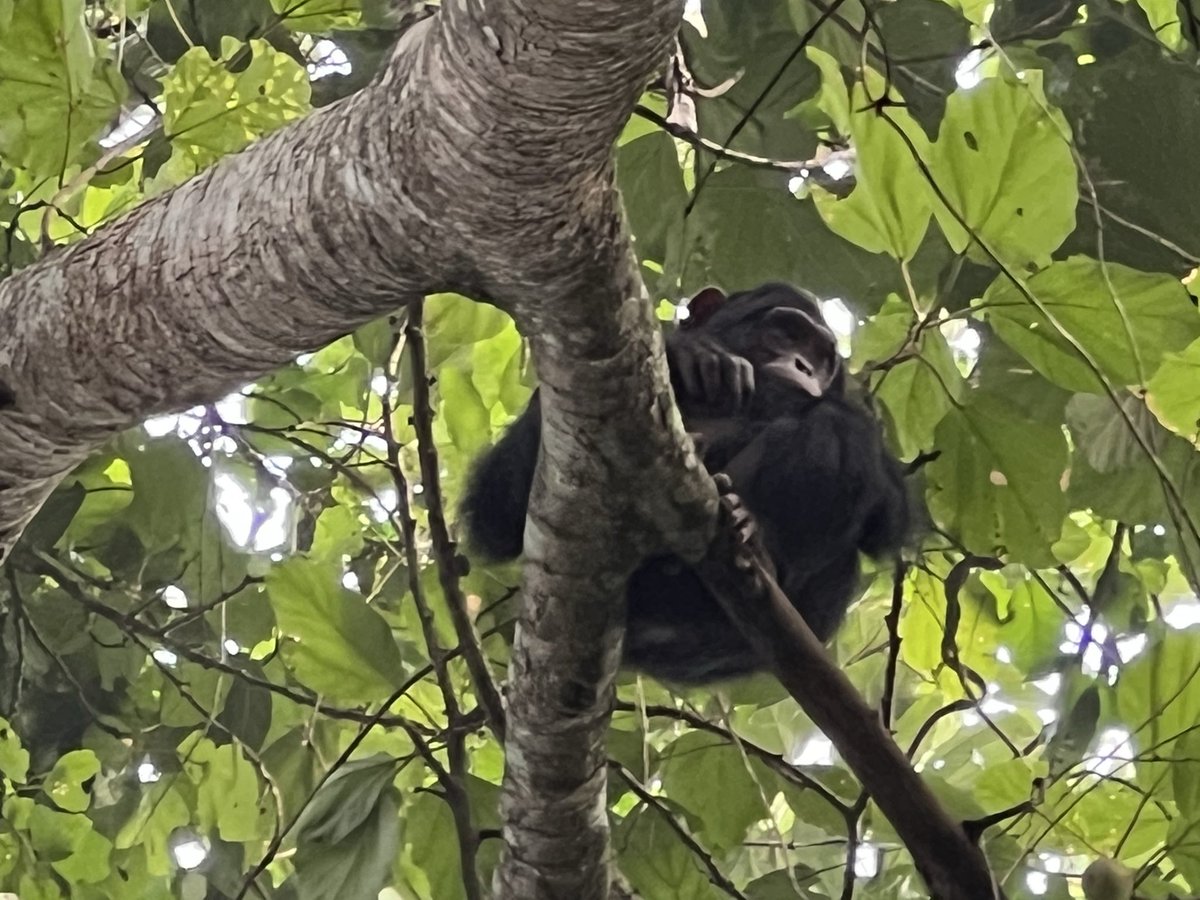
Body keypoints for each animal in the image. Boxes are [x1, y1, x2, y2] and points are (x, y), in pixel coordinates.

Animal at [460, 283, 913, 684]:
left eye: (819, 356)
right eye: (785, 334)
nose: (802, 366)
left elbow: (887, 504)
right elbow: (498, 513)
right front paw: (685, 354)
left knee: (834, 428)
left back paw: (751, 536)